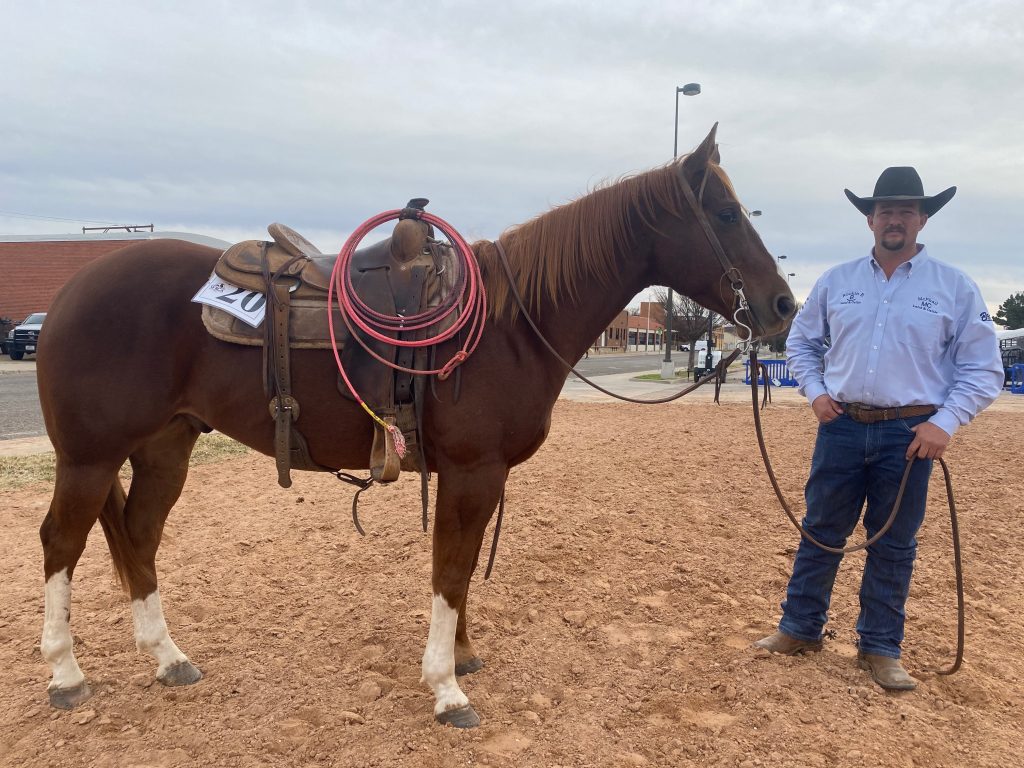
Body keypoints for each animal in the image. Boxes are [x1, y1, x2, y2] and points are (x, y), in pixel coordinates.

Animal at [34, 126, 795, 728]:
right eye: (725, 213)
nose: (783, 305)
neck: (508, 325)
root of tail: (69, 293)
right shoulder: (471, 471)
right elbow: (451, 570)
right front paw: (446, 687)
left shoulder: (479, 476)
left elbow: (458, 569)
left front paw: (462, 655)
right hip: (89, 458)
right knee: (61, 543)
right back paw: (66, 674)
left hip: (165, 449)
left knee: (138, 536)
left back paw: (168, 659)